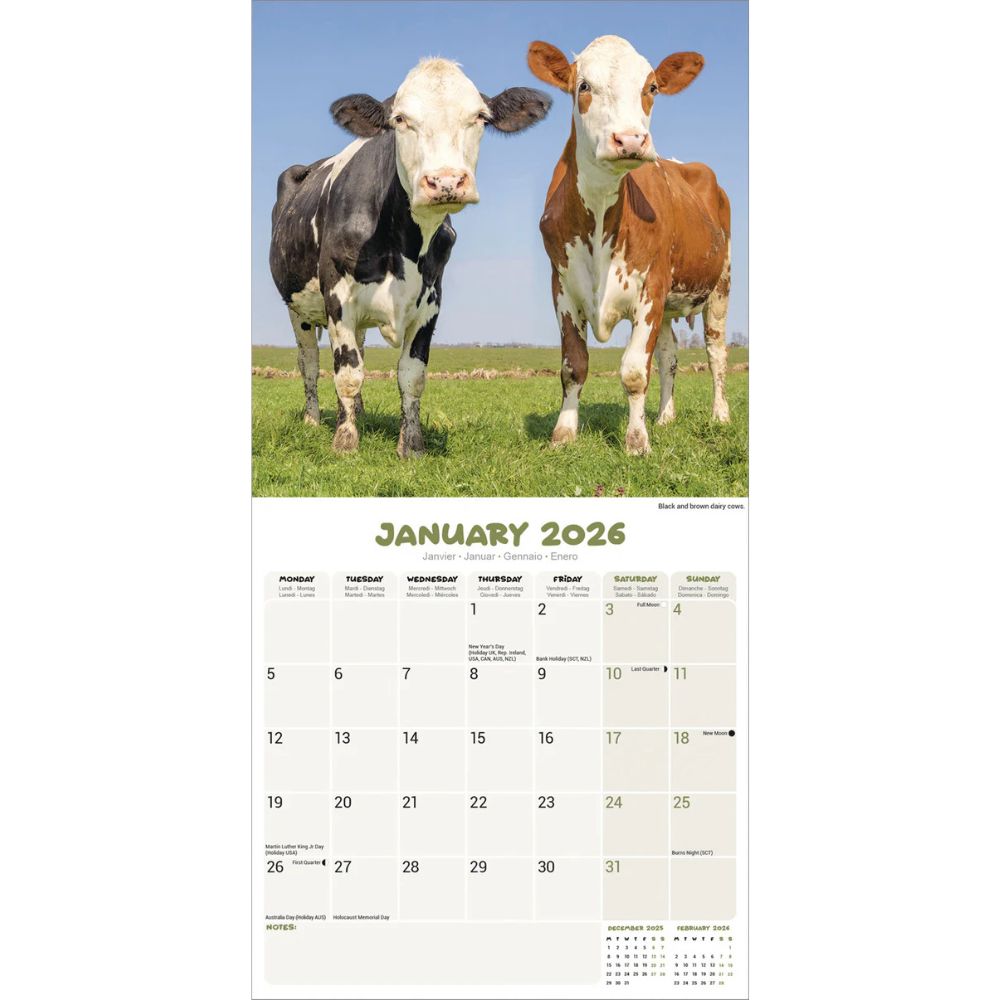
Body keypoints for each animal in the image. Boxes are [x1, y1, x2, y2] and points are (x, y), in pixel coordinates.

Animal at [270, 59, 551, 457]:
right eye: (400, 119)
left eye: (480, 116)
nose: (446, 181)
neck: (403, 241)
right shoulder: (337, 297)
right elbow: (347, 373)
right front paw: (345, 441)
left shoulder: (431, 300)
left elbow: (411, 376)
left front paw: (412, 446)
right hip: (299, 311)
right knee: (309, 363)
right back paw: (313, 420)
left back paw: (358, 412)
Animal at [527, 35, 732, 456]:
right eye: (583, 86)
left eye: (651, 88)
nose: (631, 139)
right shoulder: (562, 288)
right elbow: (573, 366)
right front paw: (563, 434)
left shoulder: (650, 287)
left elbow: (636, 371)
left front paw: (637, 442)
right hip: (671, 302)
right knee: (669, 355)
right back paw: (666, 418)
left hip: (720, 284)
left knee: (716, 351)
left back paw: (720, 416)